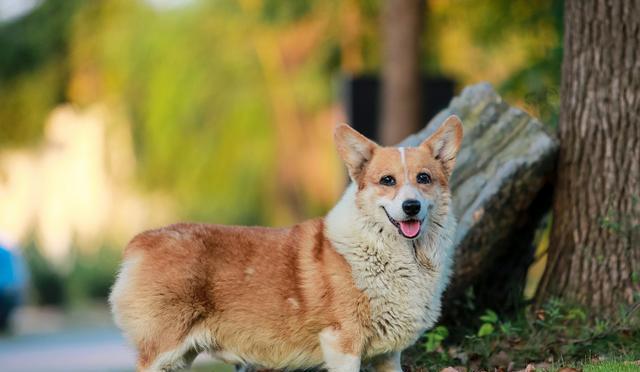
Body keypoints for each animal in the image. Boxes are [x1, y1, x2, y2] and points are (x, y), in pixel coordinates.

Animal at [109, 116, 460, 372]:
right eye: (387, 180)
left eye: (424, 178)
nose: (411, 207)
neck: (399, 256)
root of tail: (141, 241)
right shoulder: (343, 344)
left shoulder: (387, 356)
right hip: (162, 353)